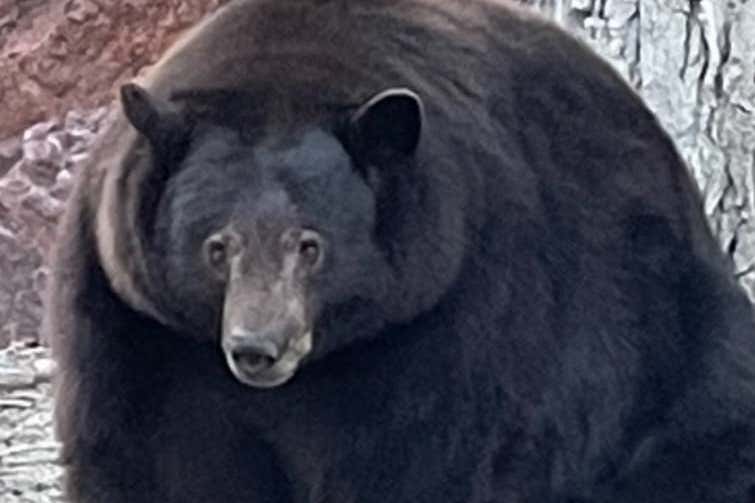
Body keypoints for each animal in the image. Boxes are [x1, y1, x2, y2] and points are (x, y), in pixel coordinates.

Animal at [46, 0, 755, 502]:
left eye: (311, 245)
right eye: (216, 245)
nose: (257, 348)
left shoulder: (458, 313)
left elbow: (423, 458)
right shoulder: (139, 327)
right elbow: (150, 457)